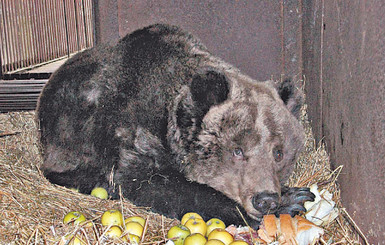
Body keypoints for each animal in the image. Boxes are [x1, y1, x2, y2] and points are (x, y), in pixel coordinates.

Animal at [36, 23, 314, 228]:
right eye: (237, 150)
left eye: (279, 153)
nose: (265, 199)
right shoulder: (132, 135)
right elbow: (156, 184)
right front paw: (292, 201)